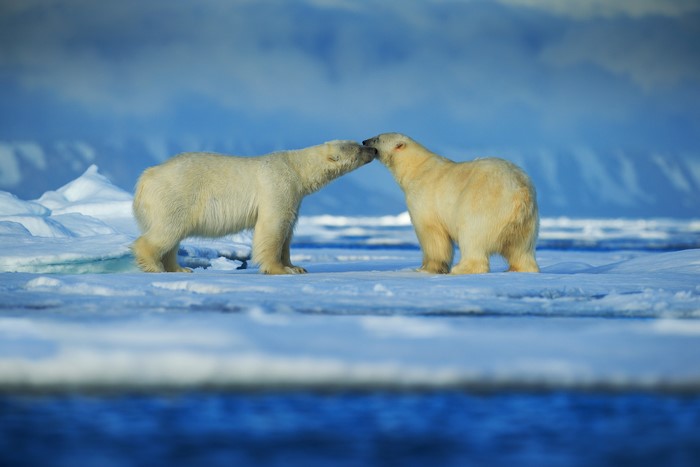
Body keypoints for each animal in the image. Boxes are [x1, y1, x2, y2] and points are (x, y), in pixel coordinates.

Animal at [132, 140, 376, 274]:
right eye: (357, 148)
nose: (372, 148)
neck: (296, 168)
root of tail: (146, 176)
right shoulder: (278, 186)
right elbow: (273, 227)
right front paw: (279, 269)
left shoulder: (295, 197)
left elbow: (288, 230)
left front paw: (296, 266)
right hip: (176, 194)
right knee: (167, 231)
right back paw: (154, 265)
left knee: (173, 237)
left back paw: (179, 268)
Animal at [363, 133, 539, 274]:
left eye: (377, 138)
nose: (364, 141)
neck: (416, 168)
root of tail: (520, 191)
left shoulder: (423, 198)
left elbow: (431, 233)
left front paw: (427, 268)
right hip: (526, 222)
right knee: (521, 249)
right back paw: (520, 269)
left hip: (484, 205)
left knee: (472, 236)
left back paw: (462, 268)